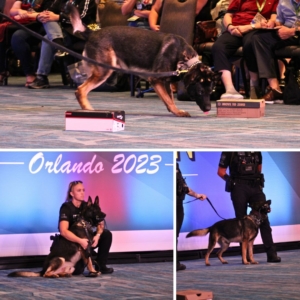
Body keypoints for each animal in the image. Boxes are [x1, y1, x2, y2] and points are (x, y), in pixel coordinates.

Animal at [66, 4, 220, 117]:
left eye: (211, 91)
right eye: (200, 92)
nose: (209, 108)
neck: (185, 59)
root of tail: (93, 33)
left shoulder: (166, 82)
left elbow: (169, 98)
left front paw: (174, 110)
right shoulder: (156, 80)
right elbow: (169, 100)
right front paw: (177, 112)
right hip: (104, 71)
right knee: (80, 91)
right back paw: (88, 110)